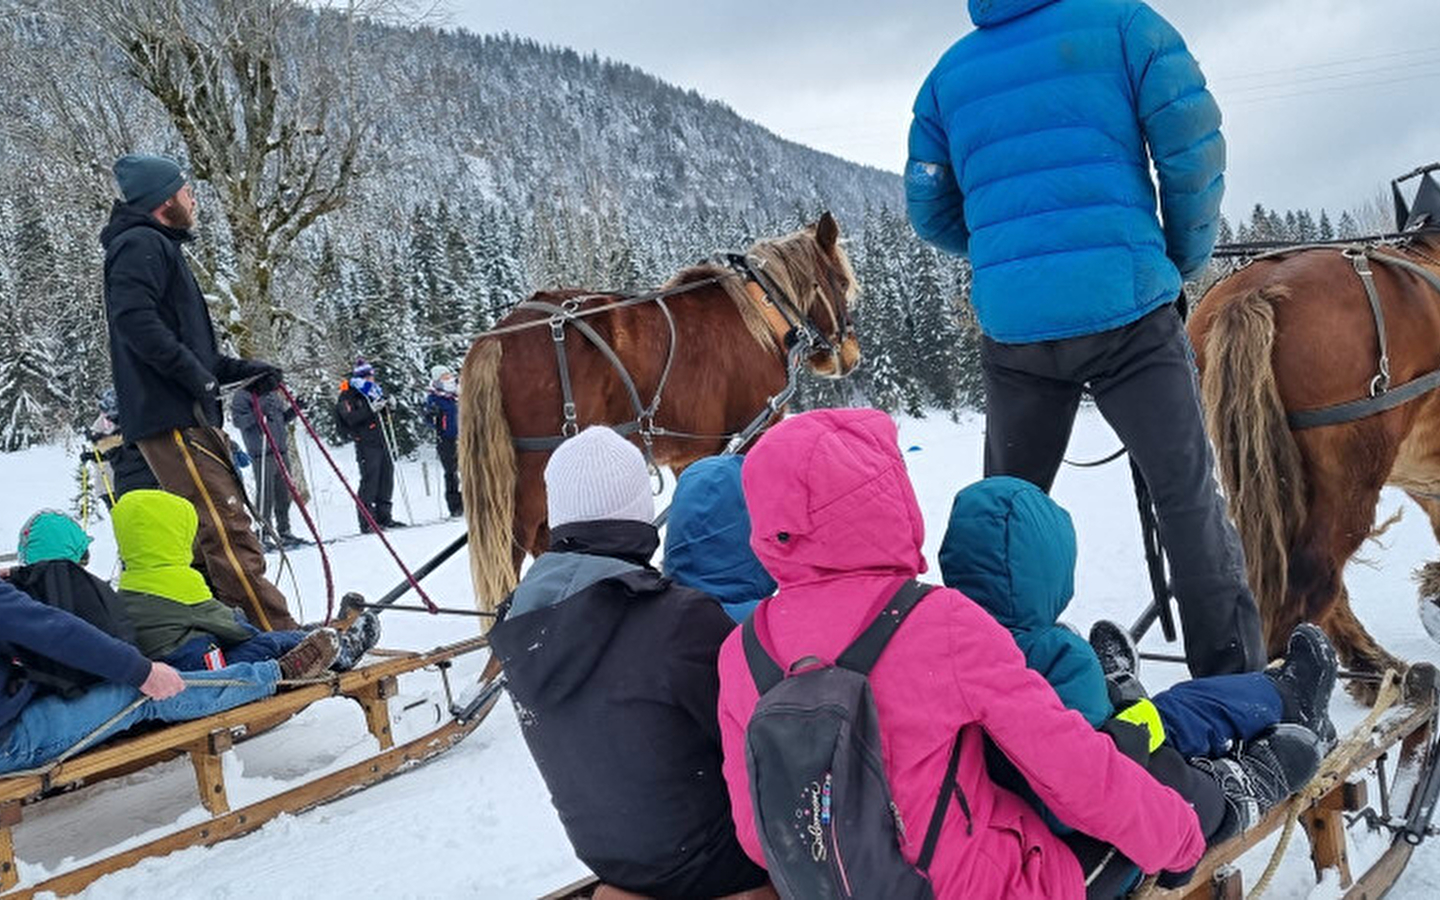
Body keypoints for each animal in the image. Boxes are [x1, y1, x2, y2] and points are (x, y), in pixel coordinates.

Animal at [457, 214, 852, 613]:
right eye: (843, 283)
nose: (850, 355)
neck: (762, 317)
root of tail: (497, 336)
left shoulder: (691, 455)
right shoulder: (749, 436)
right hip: (528, 478)